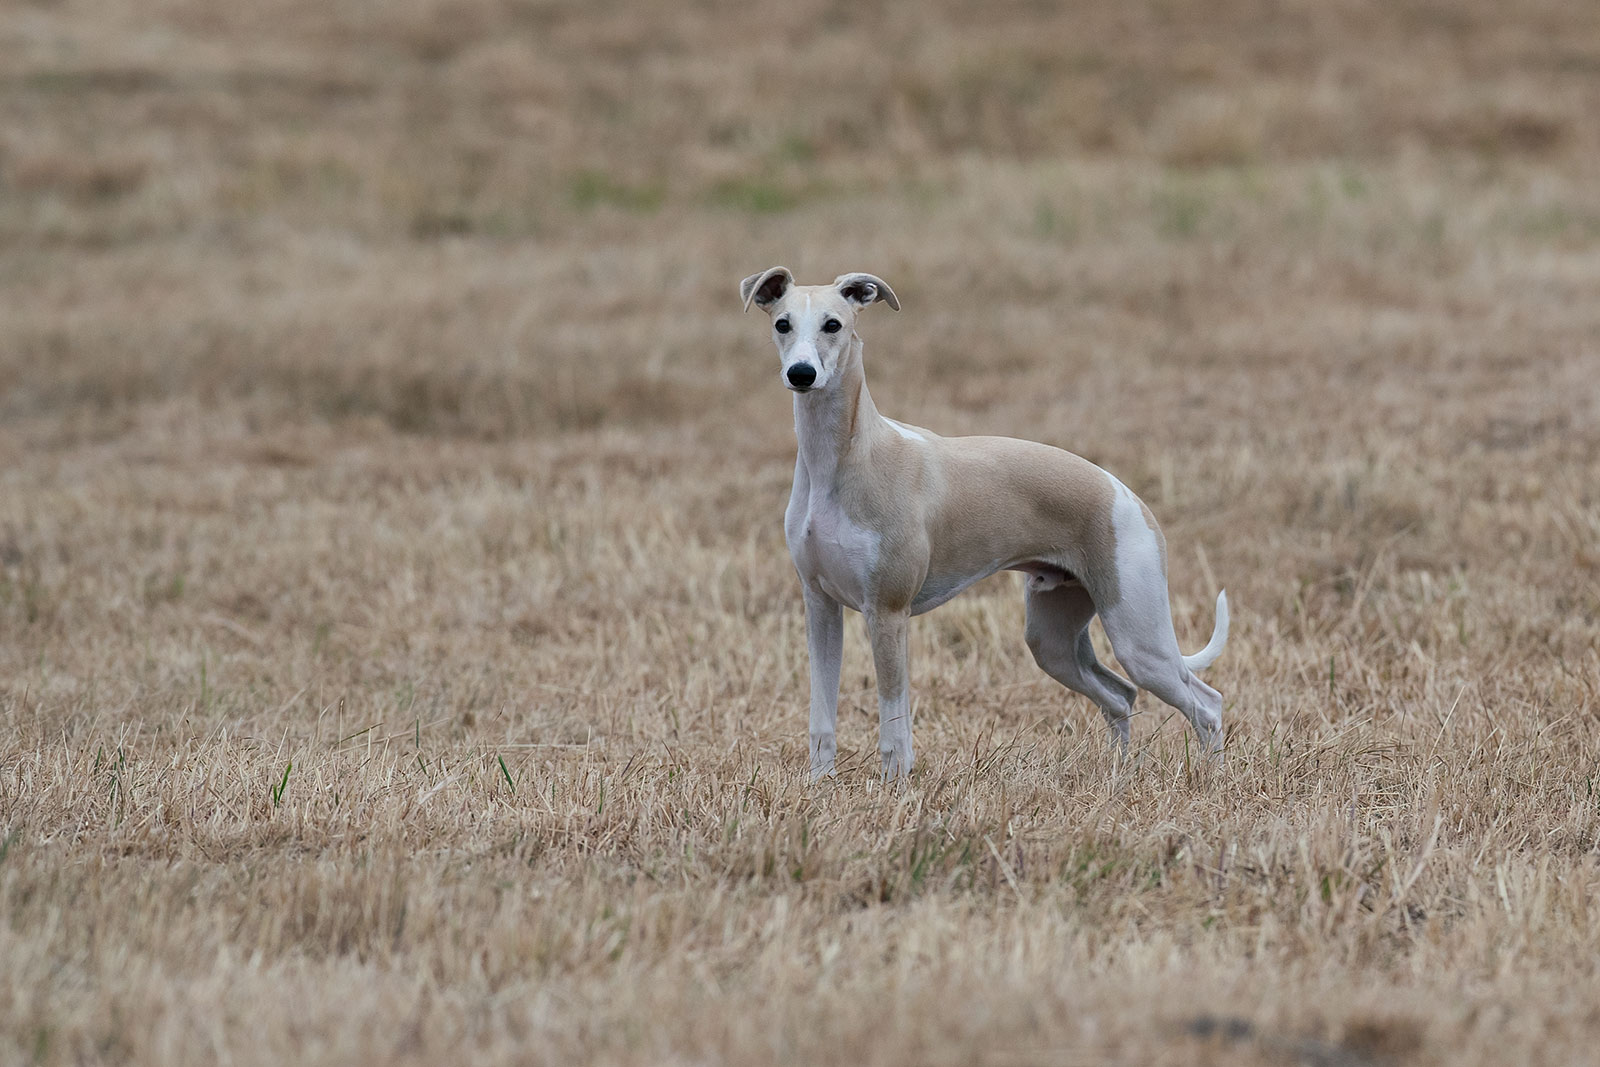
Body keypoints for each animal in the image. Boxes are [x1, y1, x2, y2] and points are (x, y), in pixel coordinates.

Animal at [742, 267, 1228, 783]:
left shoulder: (888, 612)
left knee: (1206, 703)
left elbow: (894, 724)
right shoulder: (820, 607)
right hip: (1053, 640)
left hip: (1138, 634)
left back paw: (1211, 779)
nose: (801, 374)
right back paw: (1118, 776)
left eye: (833, 324)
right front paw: (819, 786)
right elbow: (822, 714)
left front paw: (894, 788)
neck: (846, 456)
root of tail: (1131, 498)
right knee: (1120, 694)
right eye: (782, 324)